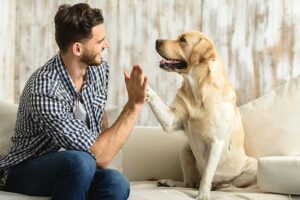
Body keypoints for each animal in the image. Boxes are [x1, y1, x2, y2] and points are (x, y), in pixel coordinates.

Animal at [146, 31, 256, 200]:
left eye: (183, 40)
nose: (157, 41)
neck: (197, 90)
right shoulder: (171, 121)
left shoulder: (216, 142)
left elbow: (207, 175)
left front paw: (203, 195)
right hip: (184, 150)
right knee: (189, 183)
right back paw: (170, 182)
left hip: (252, 166)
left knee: (231, 183)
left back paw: (224, 185)